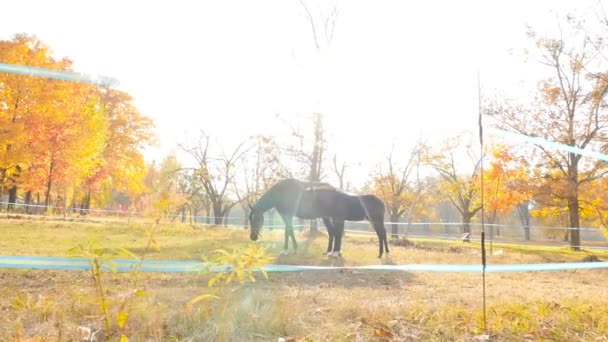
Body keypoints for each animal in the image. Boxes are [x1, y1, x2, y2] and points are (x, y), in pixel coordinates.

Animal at [251, 178, 390, 258]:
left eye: (257, 219)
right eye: (249, 219)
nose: (253, 237)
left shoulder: (287, 215)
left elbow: (288, 232)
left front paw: (287, 250)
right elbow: (290, 232)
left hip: (375, 221)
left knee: (381, 234)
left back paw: (382, 253)